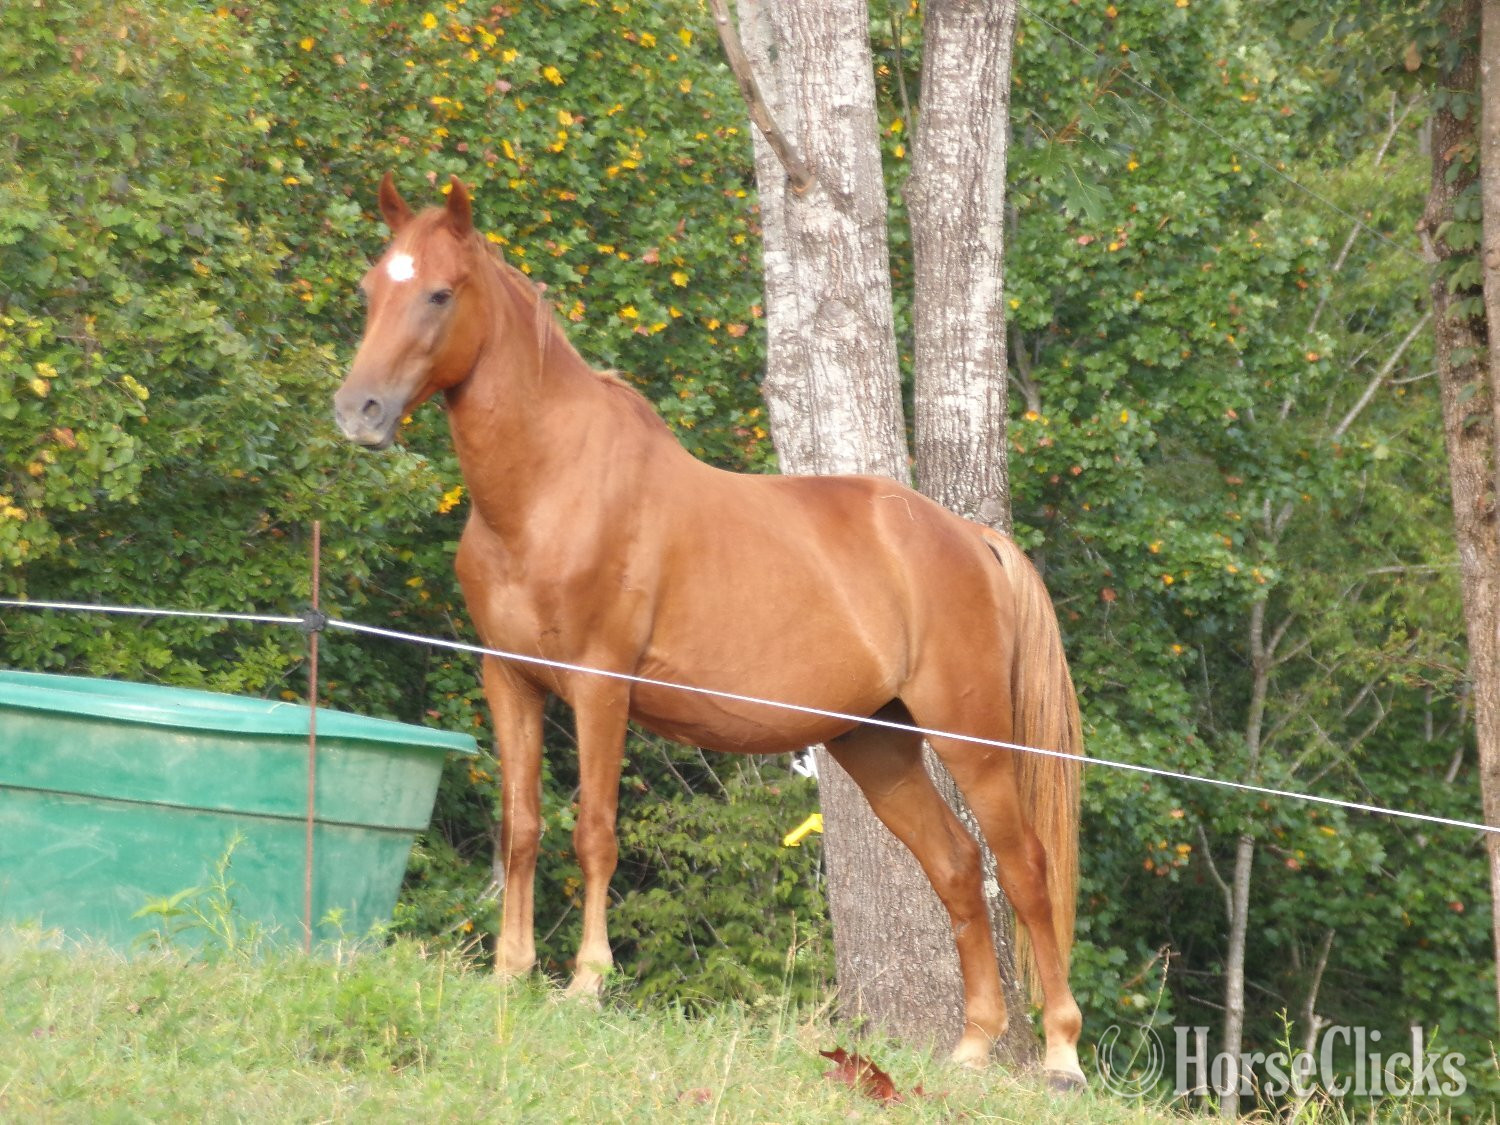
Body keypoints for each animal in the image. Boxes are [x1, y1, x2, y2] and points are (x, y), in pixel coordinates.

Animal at [333, 175, 1087, 1087]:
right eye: (371, 289)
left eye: (441, 293)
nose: (358, 411)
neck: (550, 488)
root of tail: (970, 538)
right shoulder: (508, 679)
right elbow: (522, 827)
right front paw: (511, 974)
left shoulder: (600, 686)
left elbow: (594, 831)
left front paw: (586, 982)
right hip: (878, 745)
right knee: (958, 868)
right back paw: (972, 1046)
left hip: (971, 738)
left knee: (1025, 868)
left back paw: (1060, 1053)